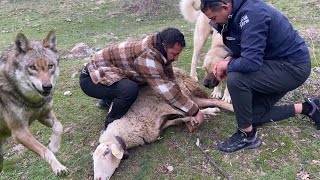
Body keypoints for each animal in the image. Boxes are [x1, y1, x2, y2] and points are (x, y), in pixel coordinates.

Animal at [0, 31, 67, 176]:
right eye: (32, 67)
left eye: (50, 66)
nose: (47, 86)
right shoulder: (19, 132)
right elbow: (45, 151)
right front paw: (58, 167)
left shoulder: (43, 114)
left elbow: (59, 126)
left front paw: (54, 145)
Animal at [92, 68, 232, 180]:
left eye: (106, 153)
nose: (98, 178)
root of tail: (179, 70)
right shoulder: (159, 125)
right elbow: (179, 119)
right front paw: (192, 120)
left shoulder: (166, 105)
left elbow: (187, 113)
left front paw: (201, 116)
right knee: (208, 101)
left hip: (183, 93)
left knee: (205, 102)